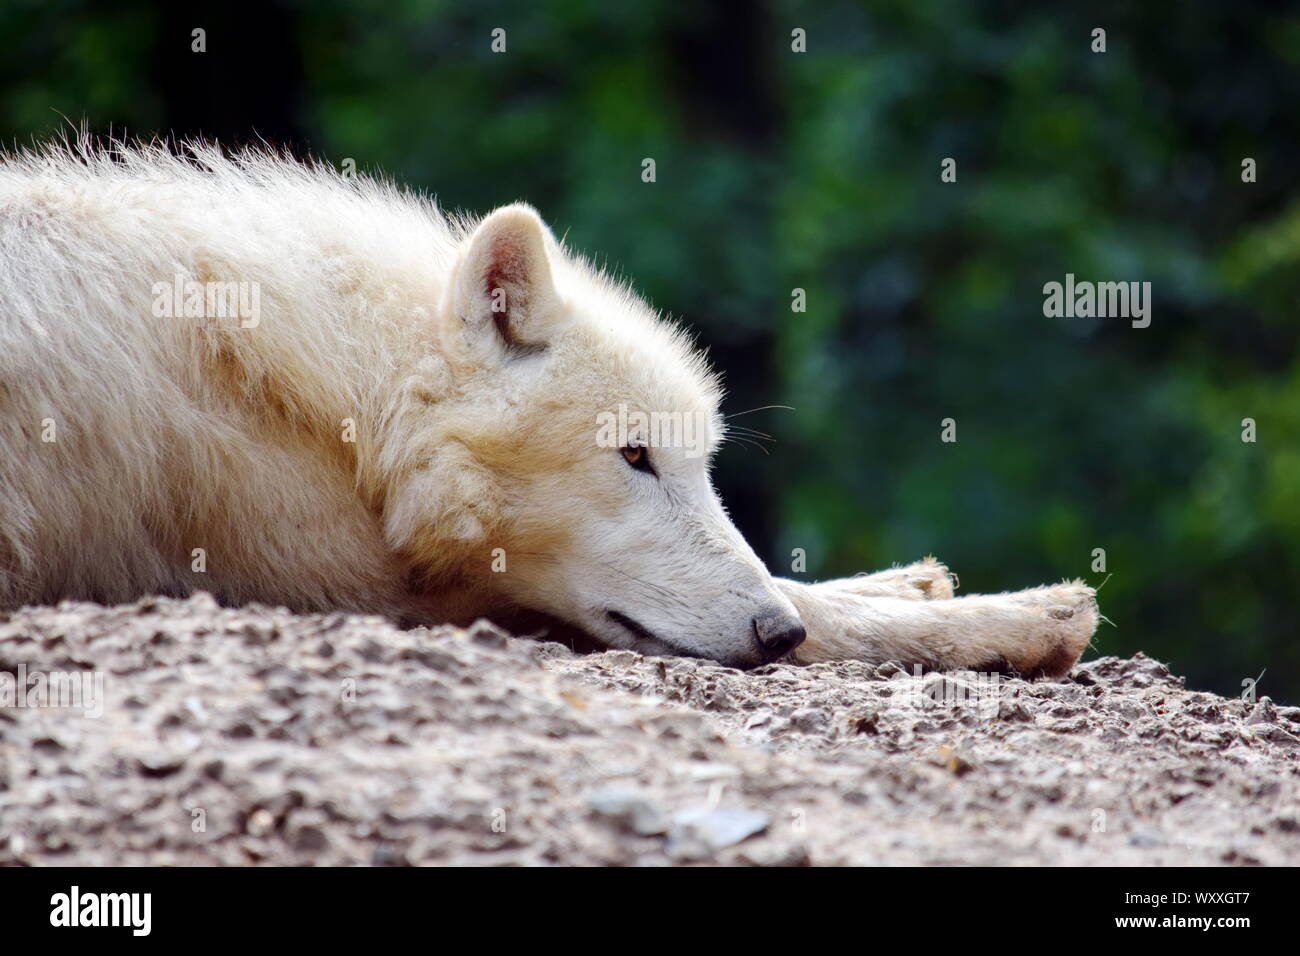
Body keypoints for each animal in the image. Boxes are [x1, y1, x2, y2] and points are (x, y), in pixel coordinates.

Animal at [0, 140, 1097, 671]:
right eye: (633, 457)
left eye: (698, 464)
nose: (770, 636)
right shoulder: (345, 582)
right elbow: (828, 612)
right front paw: (1020, 616)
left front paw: (917, 585)